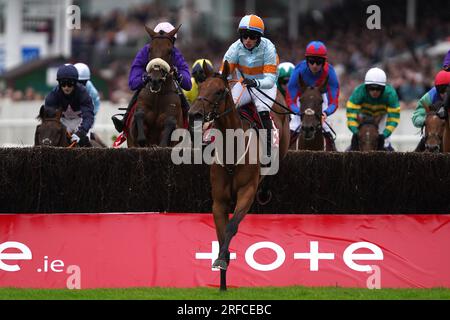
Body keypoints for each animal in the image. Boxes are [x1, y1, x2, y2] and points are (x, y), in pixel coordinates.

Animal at [188, 61, 290, 292]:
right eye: (201, 86)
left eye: (218, 91)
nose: (194, 113)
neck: (232, 150)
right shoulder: (219, 201)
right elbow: (220, 233)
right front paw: (222, 279)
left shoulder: (246, 192)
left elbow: (232, 227)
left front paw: (222, 259)